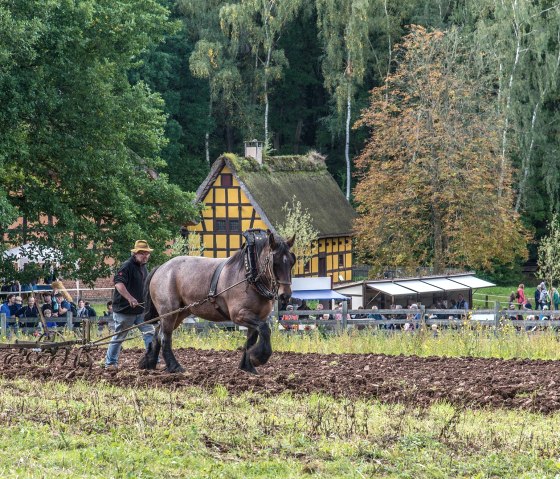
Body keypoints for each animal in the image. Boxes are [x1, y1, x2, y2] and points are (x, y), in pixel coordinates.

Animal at [139, 231, 296, 376]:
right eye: (274, 262)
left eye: (291, 261)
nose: (285, 295)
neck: (249, 277)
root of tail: (160, 268)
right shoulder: (239, 315)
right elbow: (264, 329)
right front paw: (258, 358)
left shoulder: (258, 317)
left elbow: (251, 339)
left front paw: (248, 367)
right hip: (168, 312)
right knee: (165, 337)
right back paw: (175, 366)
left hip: (179, 313)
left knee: (158, 333)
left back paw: (149, 362)